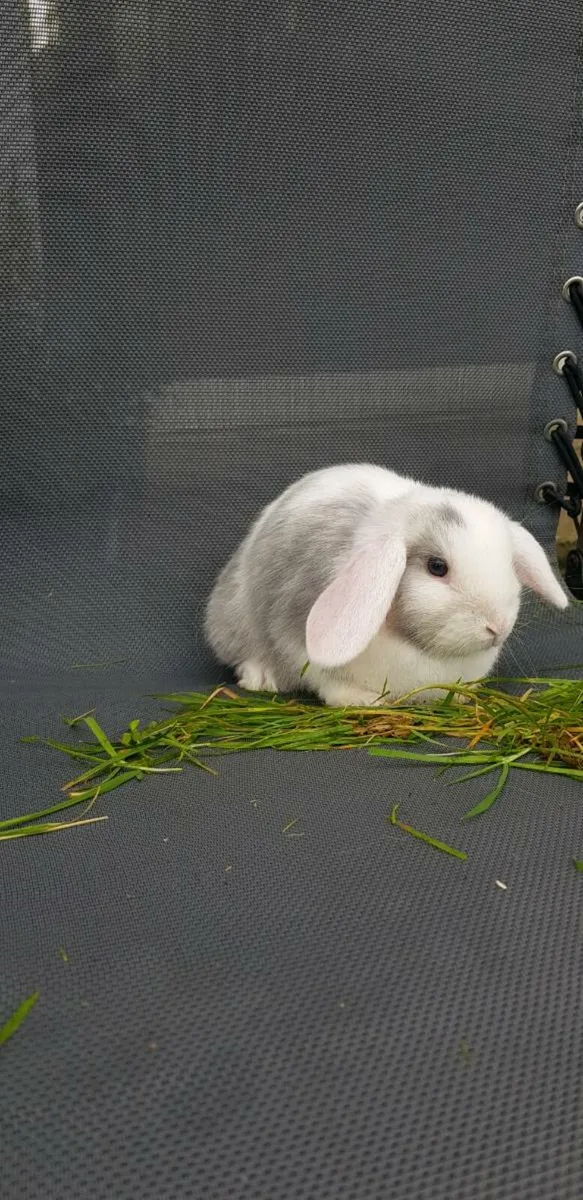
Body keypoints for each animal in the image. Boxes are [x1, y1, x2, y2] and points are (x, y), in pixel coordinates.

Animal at [204, 463, 568, 706]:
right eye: (437, 567)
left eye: (508, 562)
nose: (498, 627)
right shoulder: (295, 630)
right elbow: (323, 678)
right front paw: (364, 701)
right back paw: (260, 677)